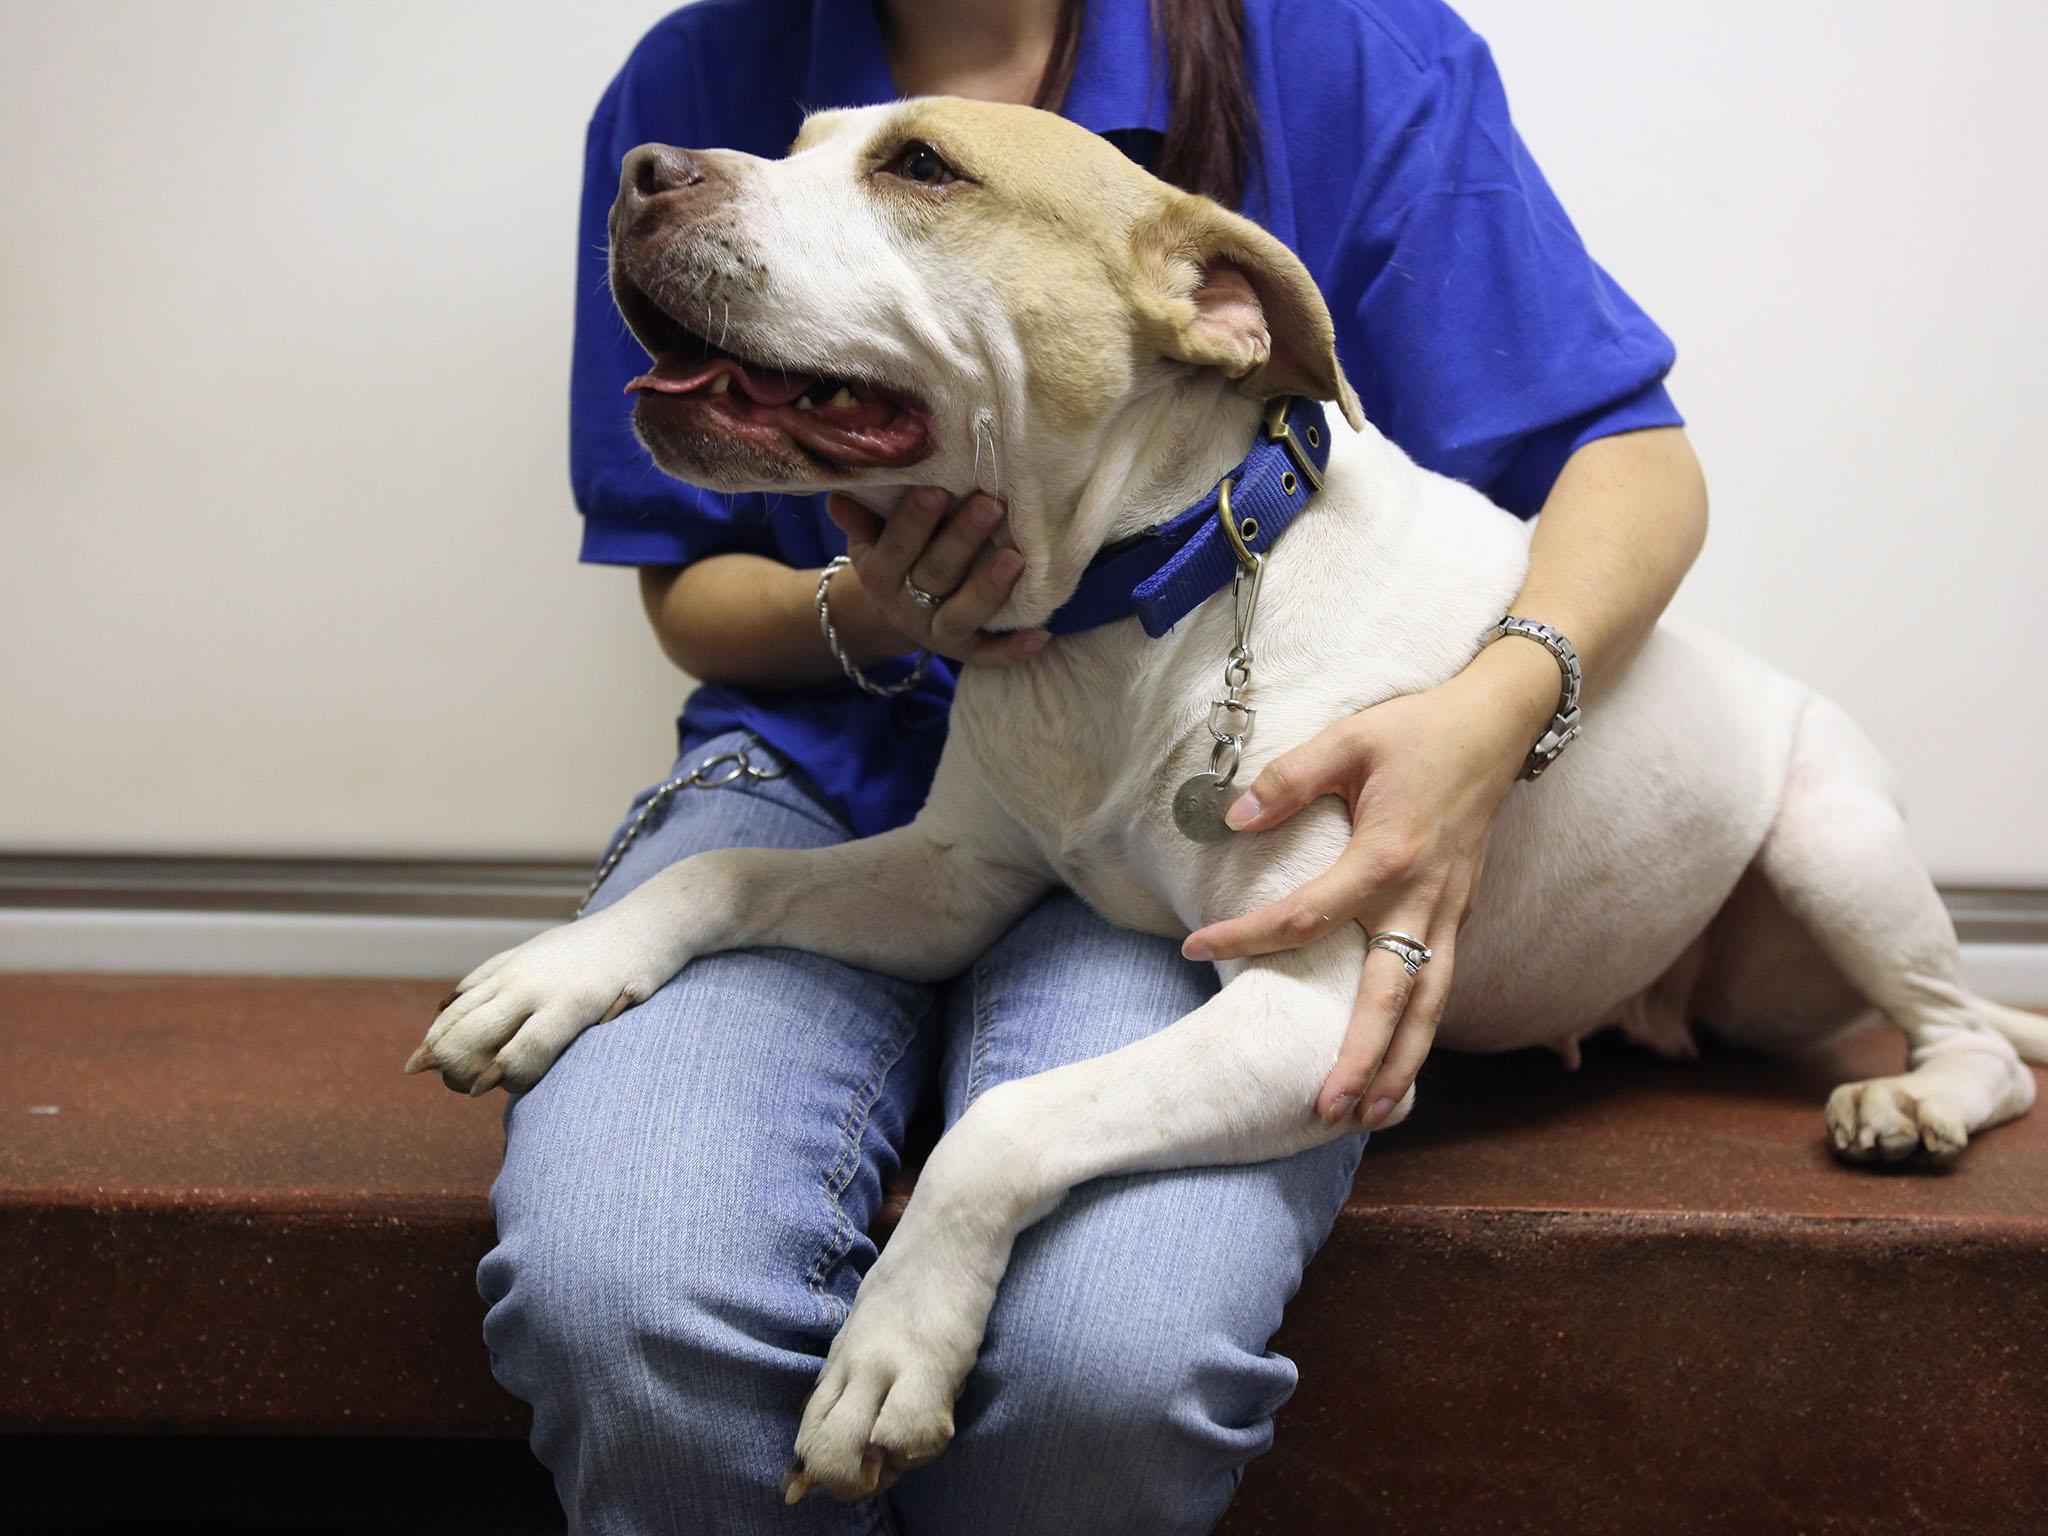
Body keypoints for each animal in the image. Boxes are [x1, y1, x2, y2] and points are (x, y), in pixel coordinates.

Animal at [407, 102, 2039, 1507]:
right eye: (797, 137)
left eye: (922, 165)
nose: (641, 171)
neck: (1136, 606)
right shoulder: (946, 880)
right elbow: (721, 874)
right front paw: (556, 970)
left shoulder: (1313, 1014)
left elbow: (1003, 1119)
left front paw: (888, 1352)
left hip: (1832, 841)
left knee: (1972, 1035)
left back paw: (1913, 1102)